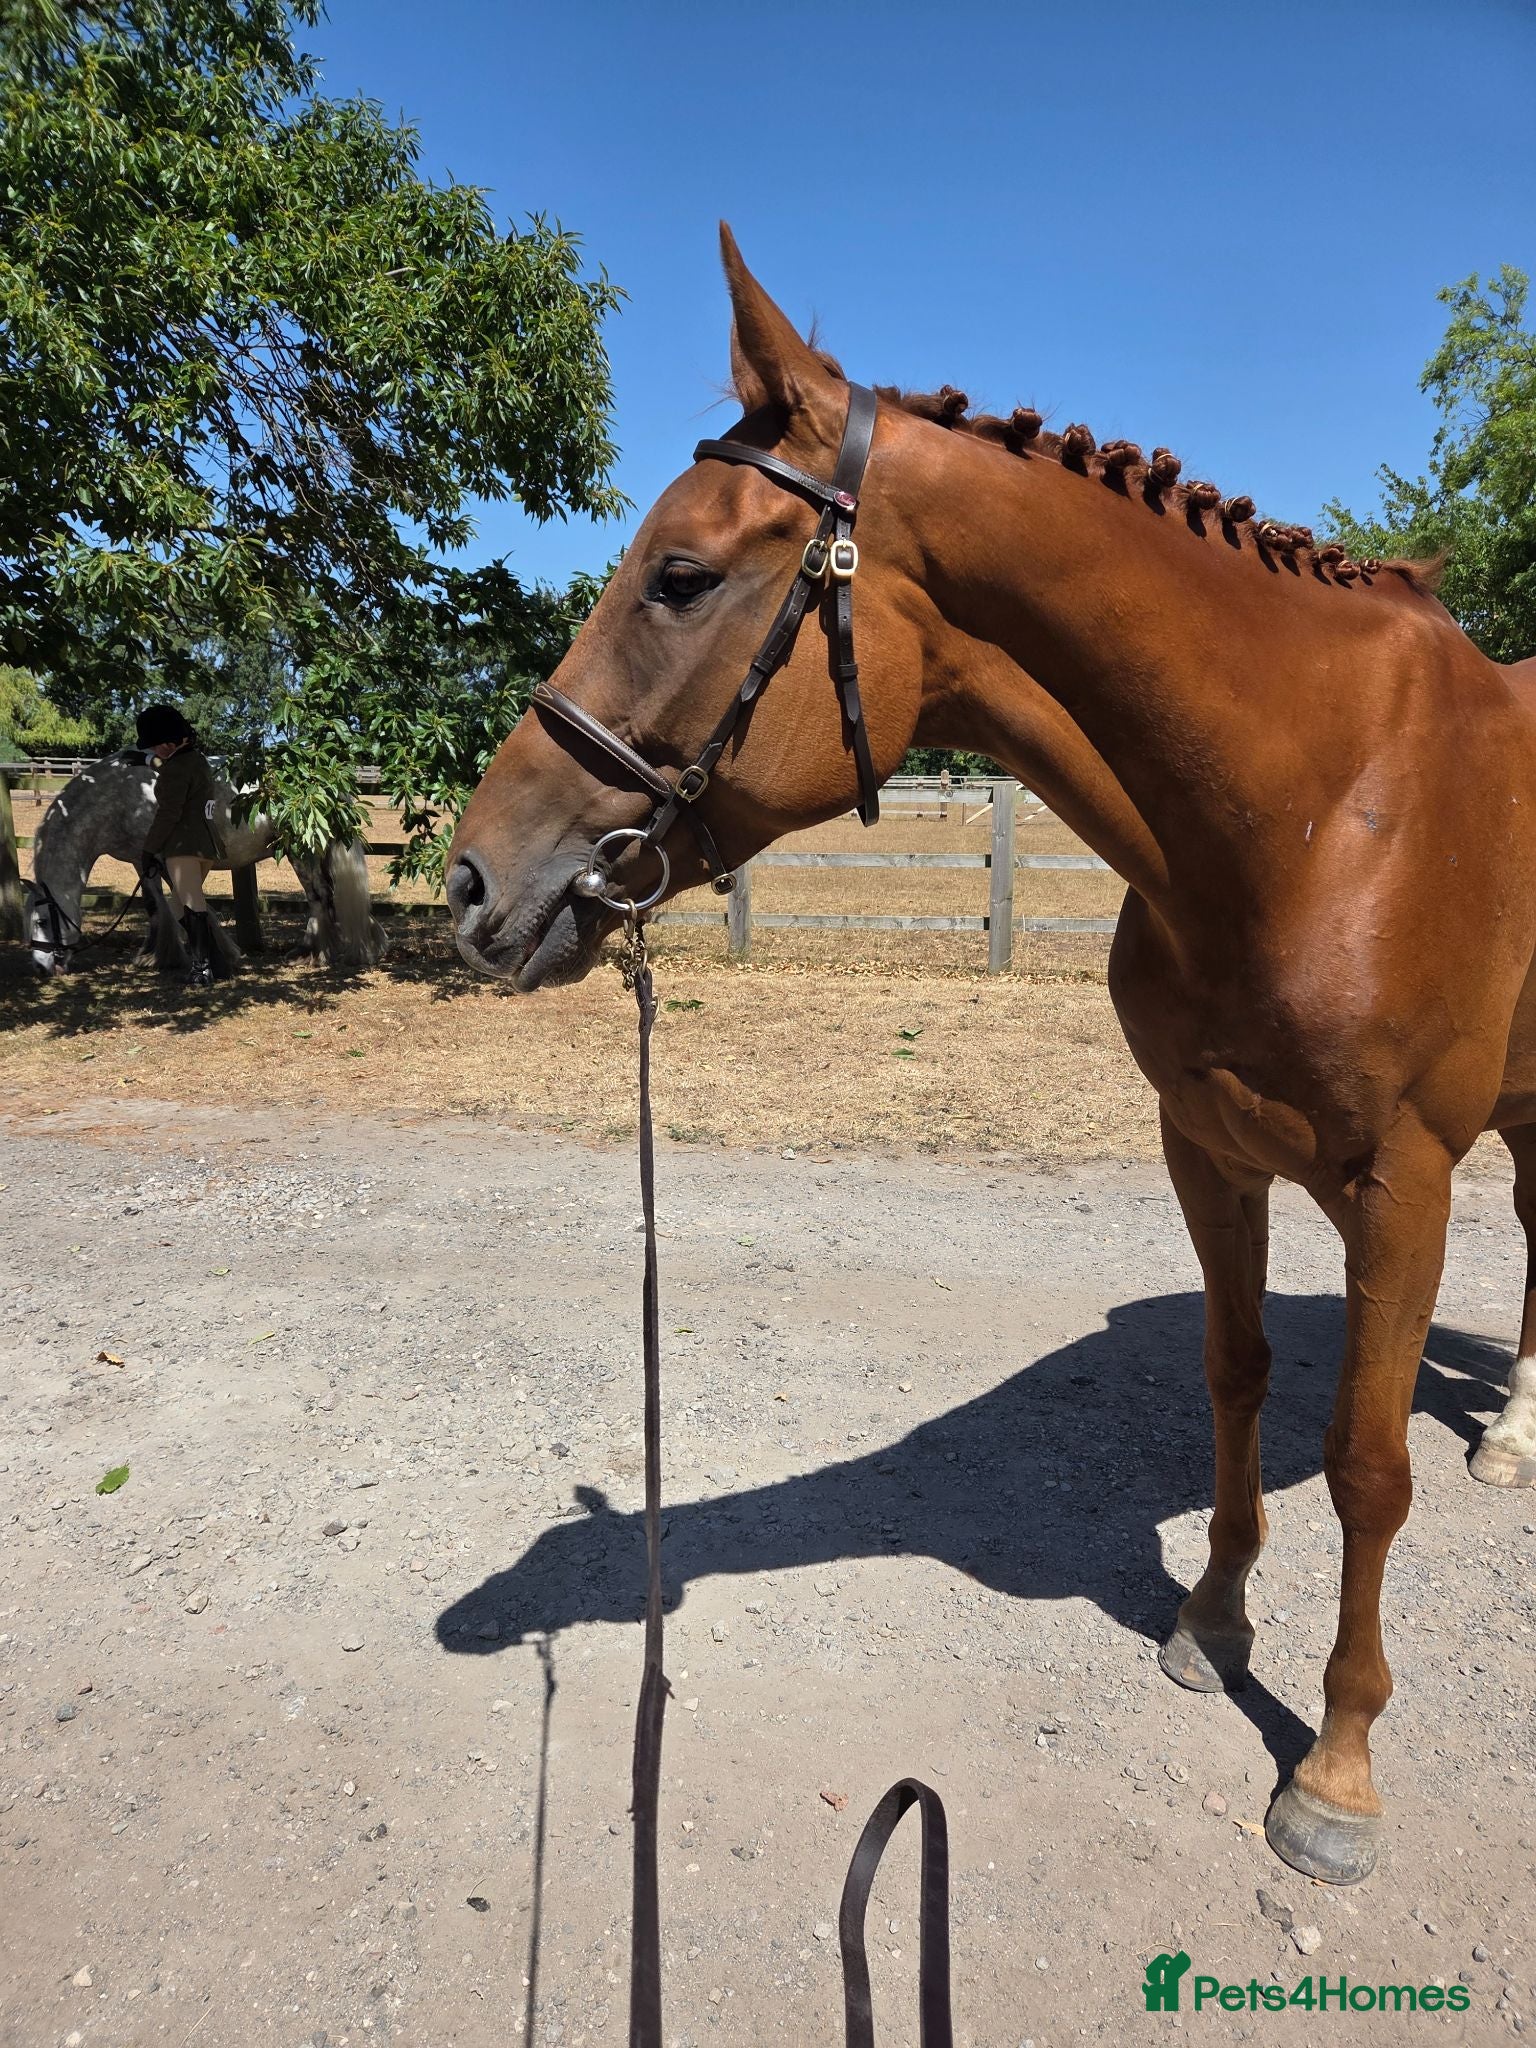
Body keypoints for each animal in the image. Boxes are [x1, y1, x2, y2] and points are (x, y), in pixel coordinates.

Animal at [25, 751, 385, 975]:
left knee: (319, 897)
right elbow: (157, 907)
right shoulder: (142, 861)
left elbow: (187, 905)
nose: (41, 968)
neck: (122, 795)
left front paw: (218, 955)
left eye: (41, 920)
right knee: (332, 896)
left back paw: (315, 953)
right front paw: (157, 956)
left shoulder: (167, 858)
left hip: (301, 851)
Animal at [442, 229, 1536, 1886]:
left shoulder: (1401, 1189)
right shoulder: (1204, 1145)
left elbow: (1365, 1463)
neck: (1324, 805)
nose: (472, 884)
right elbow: (1235, 1377)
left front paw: (1336, 1771)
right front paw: (1214, 1624)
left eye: (682, 578)